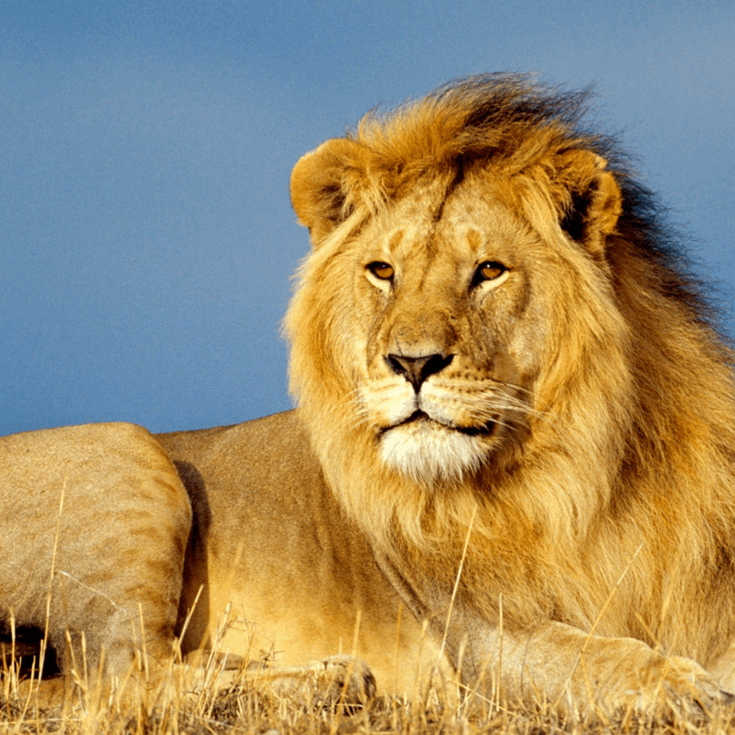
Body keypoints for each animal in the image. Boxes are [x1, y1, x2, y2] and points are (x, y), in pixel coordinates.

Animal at [2, 74, 735, 715]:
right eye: (383, 270)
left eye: (489, 270)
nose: (412, 362)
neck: (584, 470)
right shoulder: (482, 639)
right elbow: (600, 658)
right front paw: (687, 687)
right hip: (124, 450)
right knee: (119, 678)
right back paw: (330, 680)